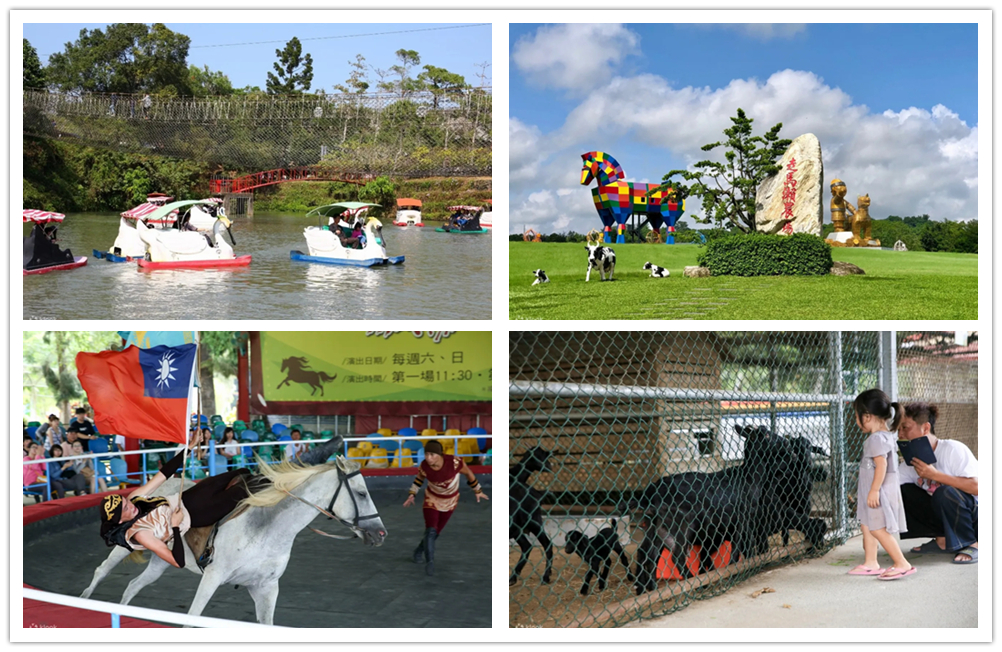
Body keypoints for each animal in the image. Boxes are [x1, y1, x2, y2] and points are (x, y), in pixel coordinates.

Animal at [78, 438, 380, 628]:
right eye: (362, 494)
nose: (380, 533)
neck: (266, 529)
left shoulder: (265, 587)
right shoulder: (212, 577)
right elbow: (191, 619)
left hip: (160, 561)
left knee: (133, 585)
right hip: (126, 546)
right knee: (102, 570)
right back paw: (82, 602)